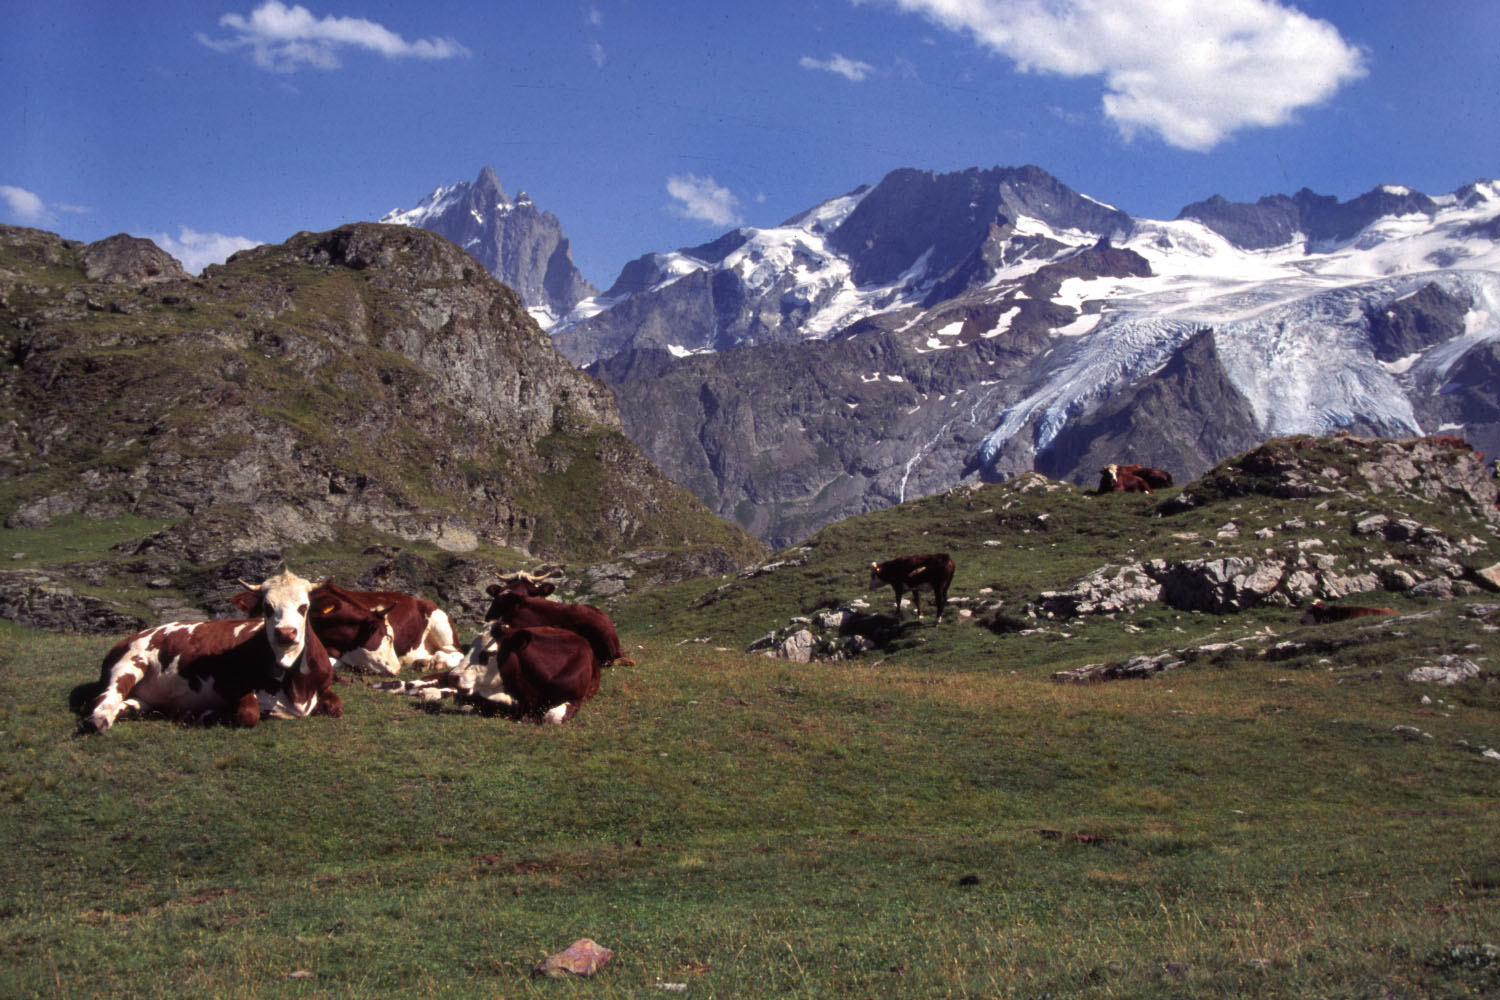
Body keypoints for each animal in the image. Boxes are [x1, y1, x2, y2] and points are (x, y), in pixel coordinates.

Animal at [81, 569, 343, 734]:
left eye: (303, 607)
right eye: (267, 607)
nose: (286, 633)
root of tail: (134, 635)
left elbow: (337, 706)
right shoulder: (228, 683)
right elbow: (249, 714)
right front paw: (210, 714)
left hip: (143, 698)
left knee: (128, 705)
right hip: (128, 664)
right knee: (105, 698)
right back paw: (98, 720)